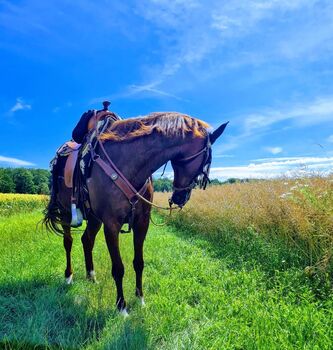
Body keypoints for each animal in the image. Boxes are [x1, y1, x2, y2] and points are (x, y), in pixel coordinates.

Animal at [42, 112, 227, 314]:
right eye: (207, 161)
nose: (181, 197)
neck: (128, 165)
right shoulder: (111, 225)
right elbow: (118, 268)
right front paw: (121, 306)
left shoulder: (141, 223)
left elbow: (139, 263)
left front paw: (140, 299)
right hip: (66, 212)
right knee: (68, 242)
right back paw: (68, 276)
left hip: (94, 218)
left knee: (87, 240)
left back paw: (91, 276)